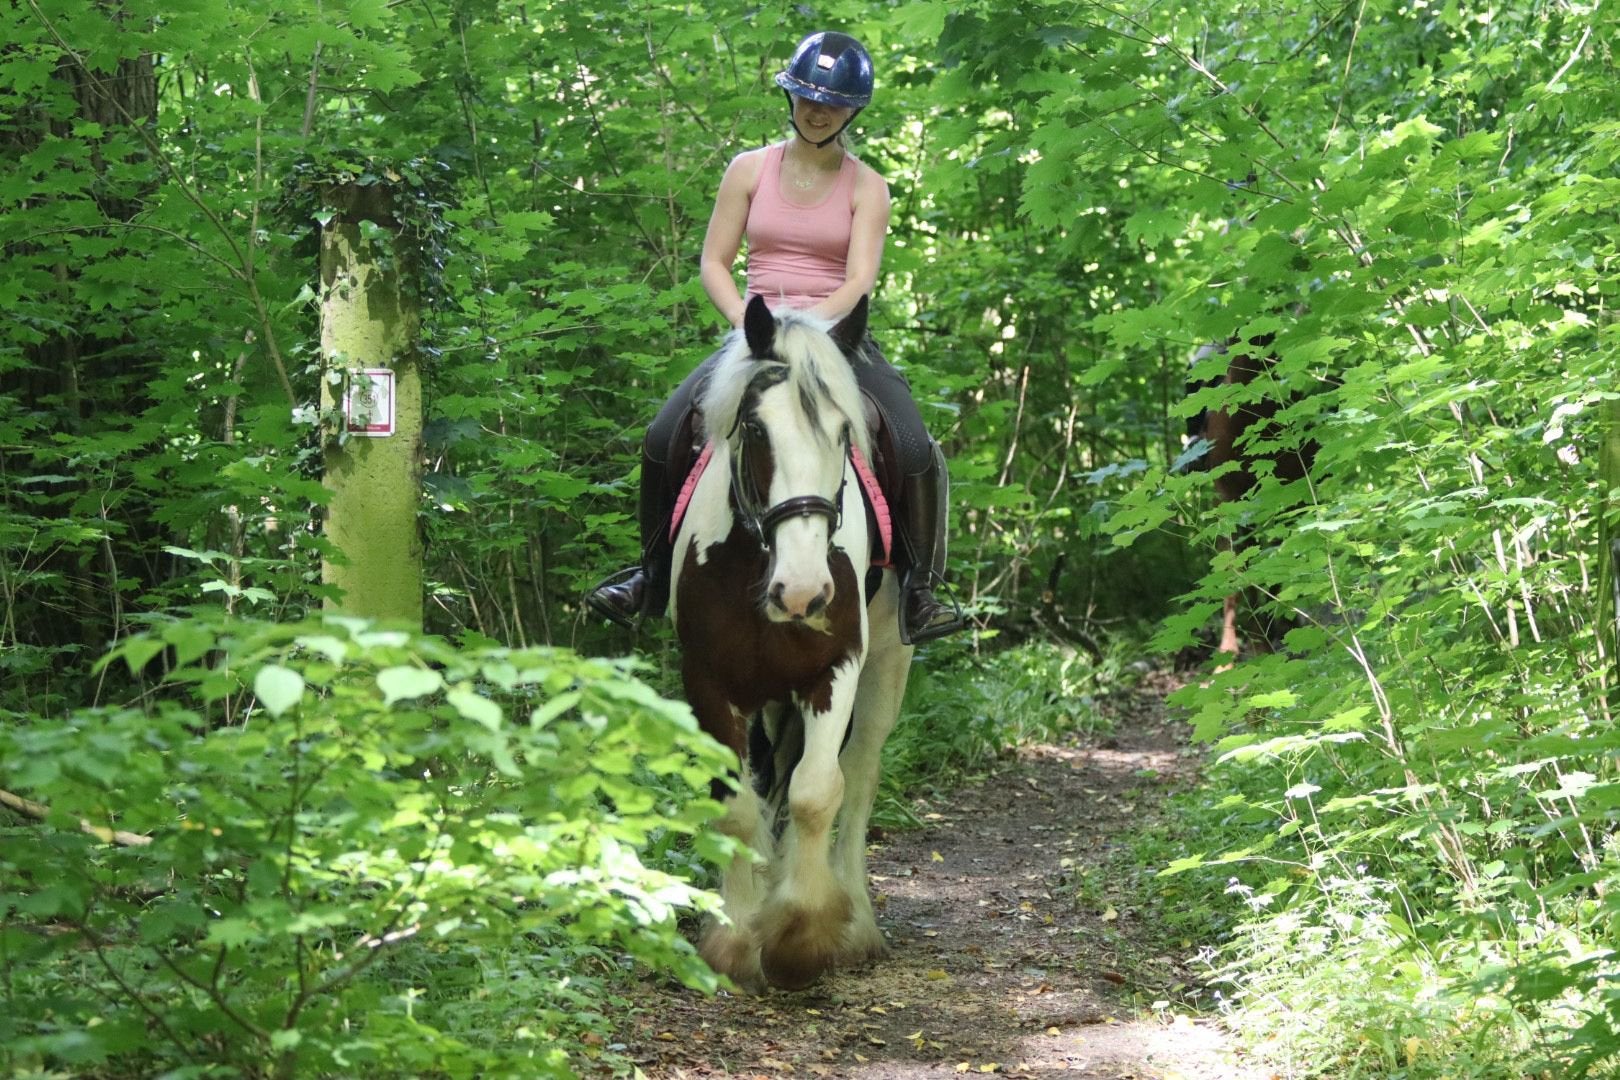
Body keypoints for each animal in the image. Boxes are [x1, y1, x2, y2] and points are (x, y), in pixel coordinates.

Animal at [670, 294, 913, 992]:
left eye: (844, 435)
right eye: (755, 432)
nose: (802, 593)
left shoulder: (834, 670)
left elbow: (815, 792)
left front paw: (799, 937)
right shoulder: (709, 680)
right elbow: (738, 805)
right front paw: (734, 939)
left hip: (890, 666)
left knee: (859, 777)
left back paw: (856, 919)